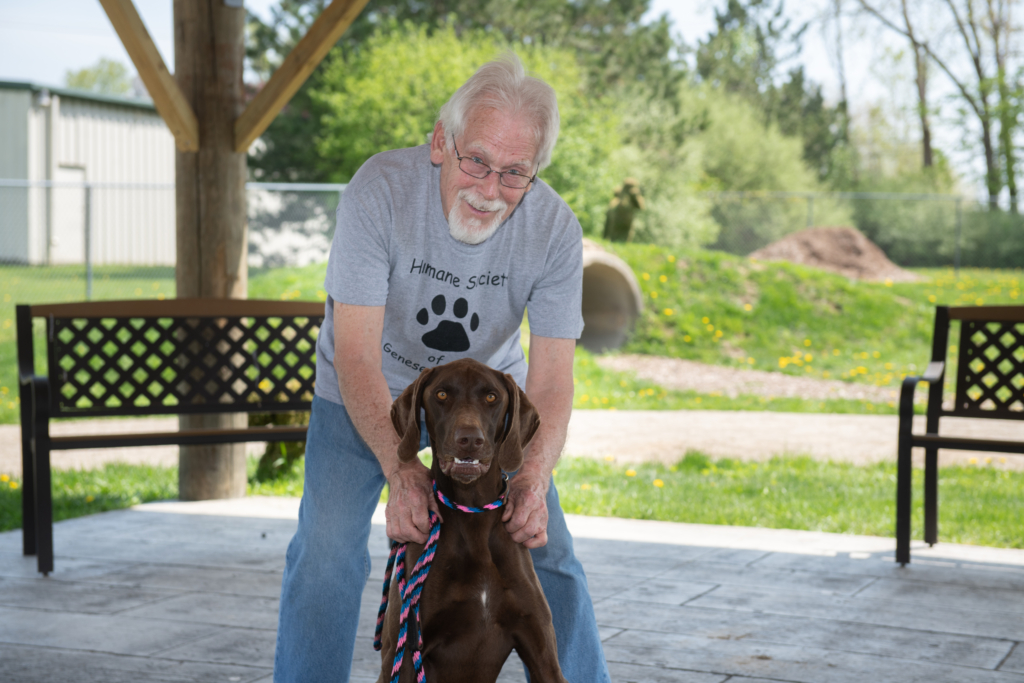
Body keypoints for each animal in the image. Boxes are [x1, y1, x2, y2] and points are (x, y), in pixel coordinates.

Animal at [376, 360, 569, 679]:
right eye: (441, 394)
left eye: (491, 397)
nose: (469, 440)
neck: (473, 517)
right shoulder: (404, 654)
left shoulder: (544, 655)